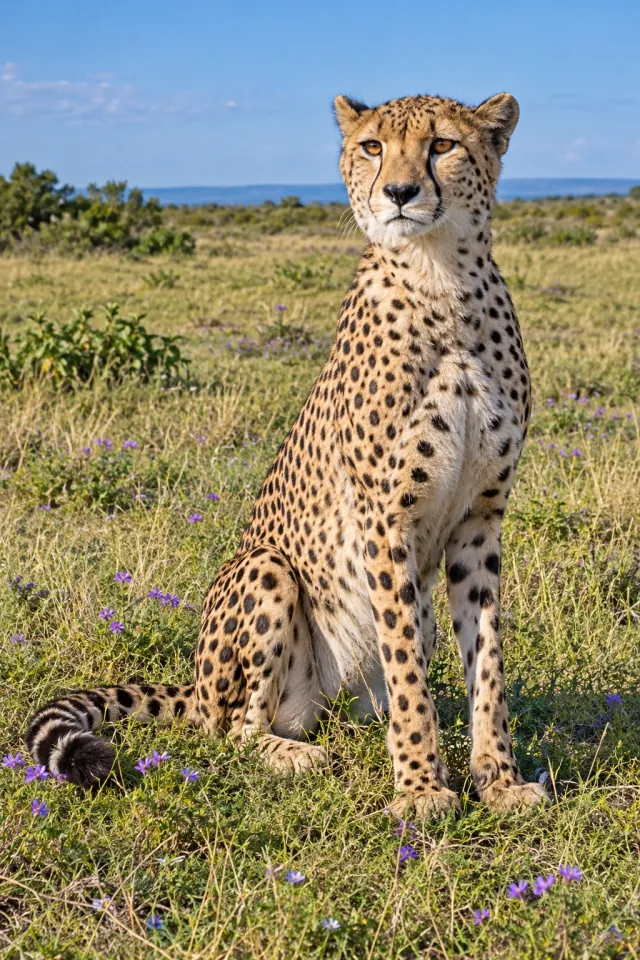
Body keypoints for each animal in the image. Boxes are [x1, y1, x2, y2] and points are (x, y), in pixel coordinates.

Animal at [26, 90, 549, 819]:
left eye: (442, 145)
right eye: (372, 147)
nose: (399, 192)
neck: (441, 278)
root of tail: (193, 685)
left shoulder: (480, 519)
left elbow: (487, 661)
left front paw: (497, 778)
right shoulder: (383, 520)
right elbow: (408, 672)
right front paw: (420, 787)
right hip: (266, 569)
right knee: (229, 731)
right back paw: (294, 754)